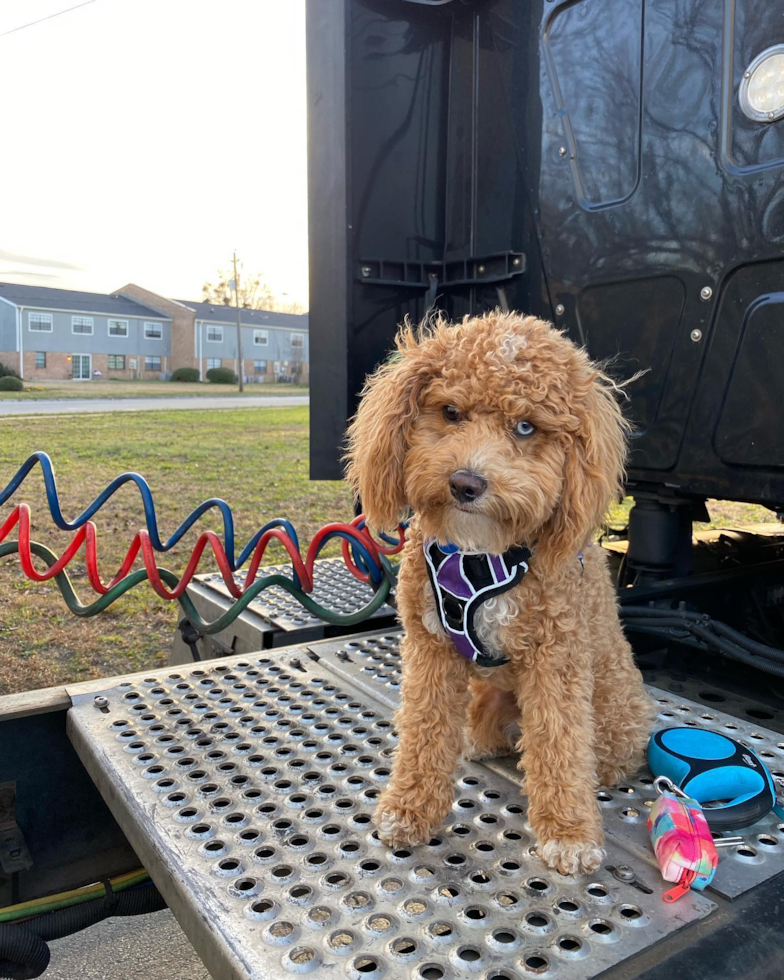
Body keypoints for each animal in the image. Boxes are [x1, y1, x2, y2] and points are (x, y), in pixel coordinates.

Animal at [346, 312, 660, 872]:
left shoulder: (556, 660)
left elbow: (559, 745)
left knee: (585, 753)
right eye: (450, 412)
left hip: (610, 713)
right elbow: (424, 731)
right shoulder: (430, 649)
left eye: (526, 426)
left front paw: (569, 833)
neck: (480, 554)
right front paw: (409, 809)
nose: (466, 483)